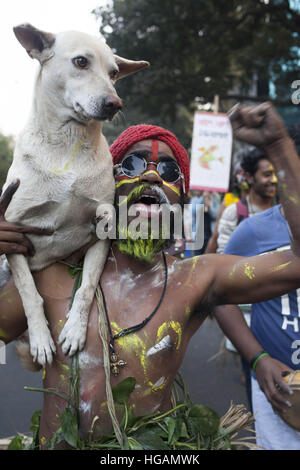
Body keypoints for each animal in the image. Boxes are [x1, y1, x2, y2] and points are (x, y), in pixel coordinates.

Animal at [4, 23, 149, 368]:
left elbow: (85, 288)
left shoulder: (100, 234)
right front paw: (41, 338)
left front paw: (74, 330)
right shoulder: (15, 231)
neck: (67, 144)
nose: (115, 103)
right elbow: (29, 292)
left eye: (113, 73)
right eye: (81, 62)